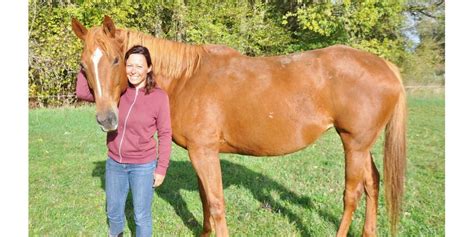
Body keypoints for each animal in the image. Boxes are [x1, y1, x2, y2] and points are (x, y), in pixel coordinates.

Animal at [72, 15, 406, 236]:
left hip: (354, 144)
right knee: (373, 183)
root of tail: (385, 66)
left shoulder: (204, 152)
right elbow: (206, 202)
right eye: (83, 66)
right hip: (362, 145)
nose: (107, 119)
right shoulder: (201, 153)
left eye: (116, 60)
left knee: (352, 194)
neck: (187, 79)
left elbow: (217, 204)